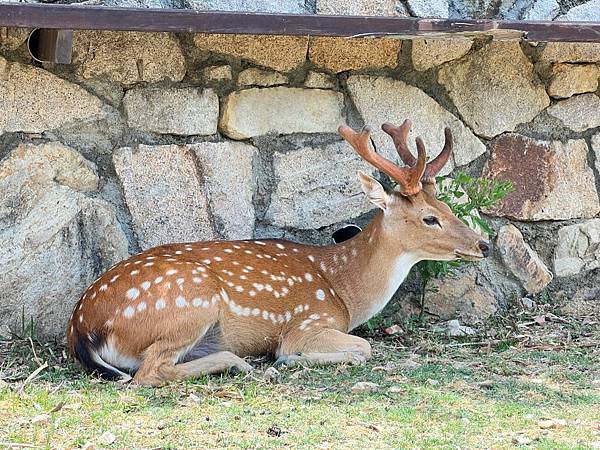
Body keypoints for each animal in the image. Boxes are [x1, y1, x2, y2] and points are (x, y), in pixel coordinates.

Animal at [67, 119, 488, 386]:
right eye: (430, 218)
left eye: (446, 206)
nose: (482, 244)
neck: (345, 293)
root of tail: (81, 329)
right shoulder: (308, 322)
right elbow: (363, 347)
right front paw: (290, 357)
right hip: (191, 300)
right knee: (148, 373)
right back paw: (242, 363)